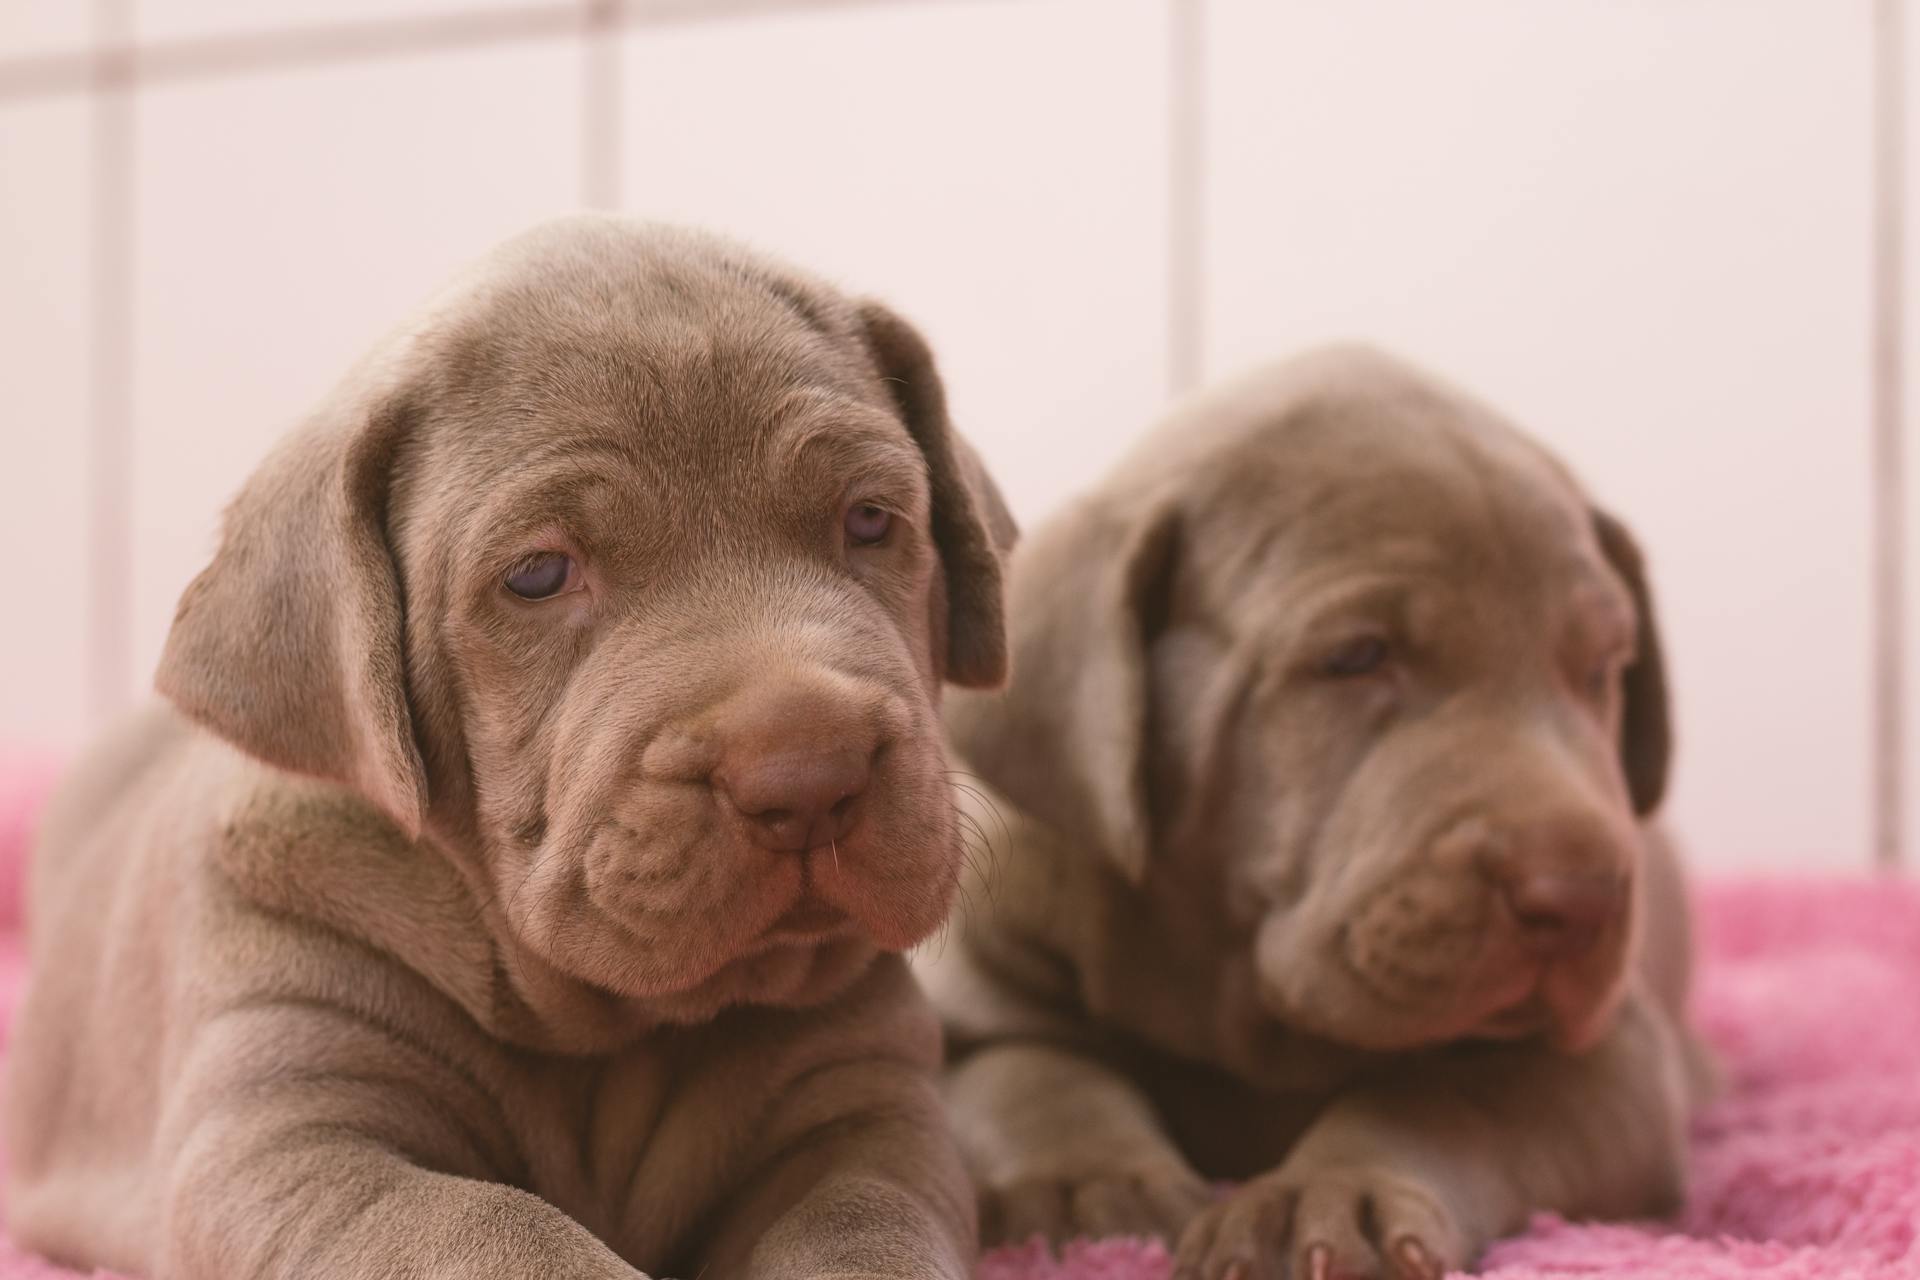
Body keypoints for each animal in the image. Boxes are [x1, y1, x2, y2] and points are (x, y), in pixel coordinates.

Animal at [3, 214, 1021, 1274]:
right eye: (538, 574)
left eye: (870, 518)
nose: (812, 775)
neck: (605, 1035)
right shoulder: (292, 1137)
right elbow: (493, 1227)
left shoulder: (868, 1114)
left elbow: (864, 1230)